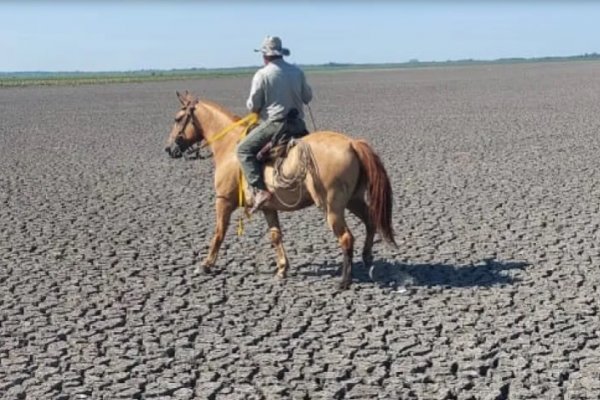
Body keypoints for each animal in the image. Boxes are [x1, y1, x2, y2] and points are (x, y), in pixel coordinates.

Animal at [166, 92, 396, 290]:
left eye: (178, 118)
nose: (169, 149)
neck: (229, 146)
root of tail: (352, 143)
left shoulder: (223, 201)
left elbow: (219, 233)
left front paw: (205, 265)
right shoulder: (268, 207)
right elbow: (275, 235)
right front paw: (282, 269)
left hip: (332, 206)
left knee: (347, 237)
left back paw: (344, 281)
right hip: (353, 200)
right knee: (370, 221)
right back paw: (368, 260)